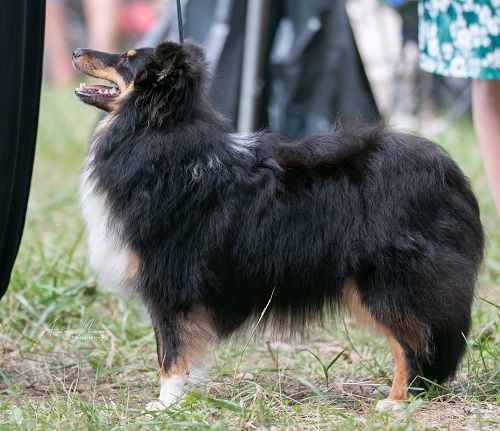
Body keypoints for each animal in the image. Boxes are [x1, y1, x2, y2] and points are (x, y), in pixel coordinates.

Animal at [71, 41, 484, 412]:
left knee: (410, 341)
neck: (156, 132)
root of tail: (450, 173)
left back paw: (396, 402)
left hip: (384, 281)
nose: (76, 51)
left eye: (126, 60)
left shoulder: (171, 282)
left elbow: (170, 352)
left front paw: (165, 405)